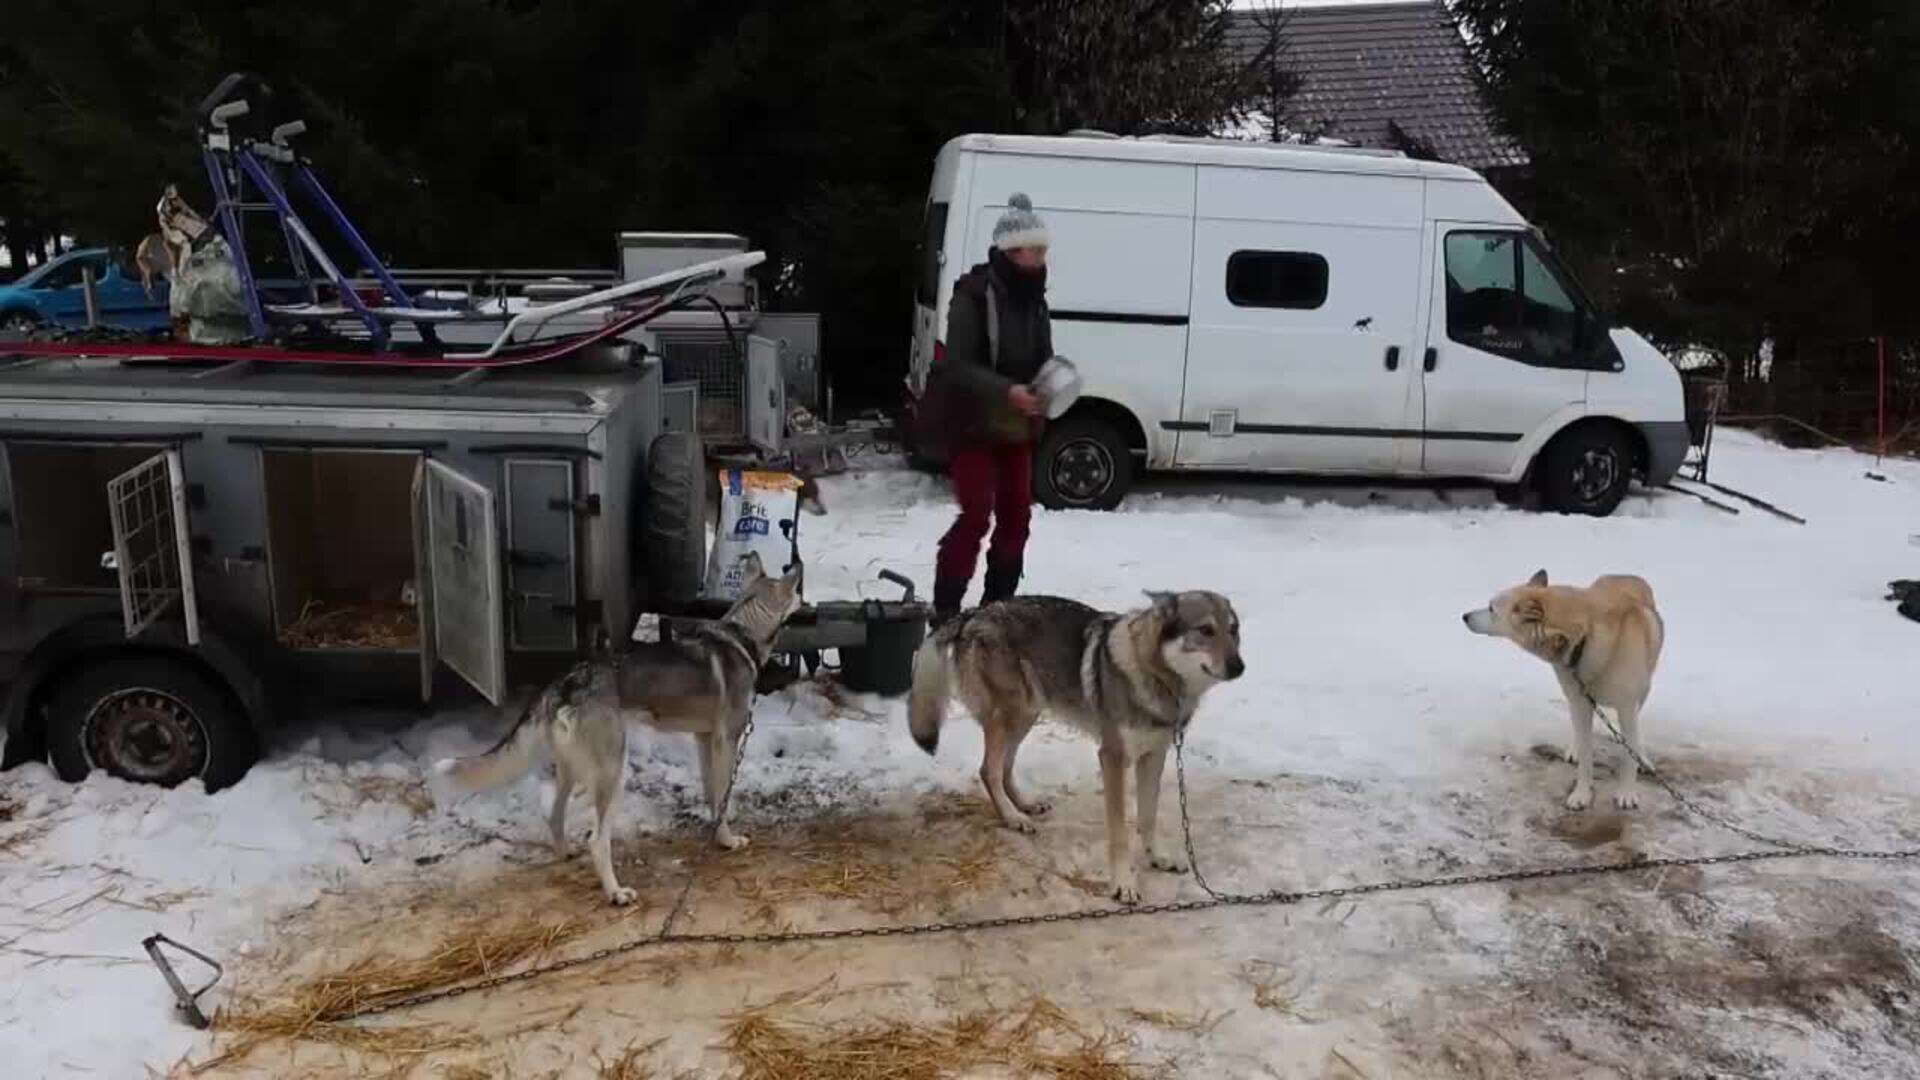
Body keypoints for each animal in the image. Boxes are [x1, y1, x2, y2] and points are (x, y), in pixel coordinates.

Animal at [1466, 572, 1666, 807]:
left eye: (1491, 608)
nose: (1464, 616)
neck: (1584, 638)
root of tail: (1626, 575)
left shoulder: (1627, 707)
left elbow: (1628, 757)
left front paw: (1626, 792)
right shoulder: (1580, 701)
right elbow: (1587, 757)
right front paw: (1581, 794)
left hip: (1644, 690)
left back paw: (1642, 757)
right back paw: (1575, 748)